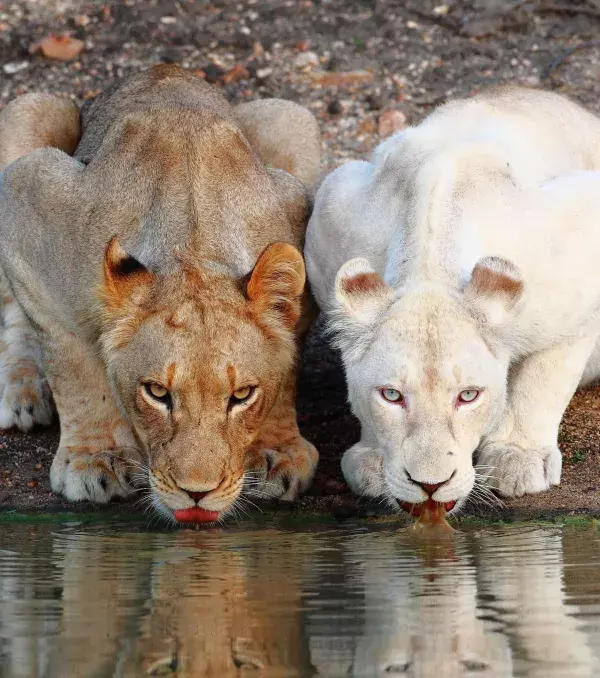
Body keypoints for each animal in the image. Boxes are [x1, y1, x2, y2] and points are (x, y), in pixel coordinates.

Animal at [0, 65, 320, 522]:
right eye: (157, 393)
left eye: (241, 396)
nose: (197, 494)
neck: (192, 244)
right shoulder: (28, 197)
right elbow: (74, 365)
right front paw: (98, 458)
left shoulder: (299, 218)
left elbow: (286, 365)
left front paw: (276, 451)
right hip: (31, 109)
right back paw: (22, 392)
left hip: (291, 119)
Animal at [305, 86, 600, 515]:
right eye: (391, 395)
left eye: (468, 396)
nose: (430, 486)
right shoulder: (331, 211)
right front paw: (373, 460)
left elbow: (544, 377)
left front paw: (517, 458)